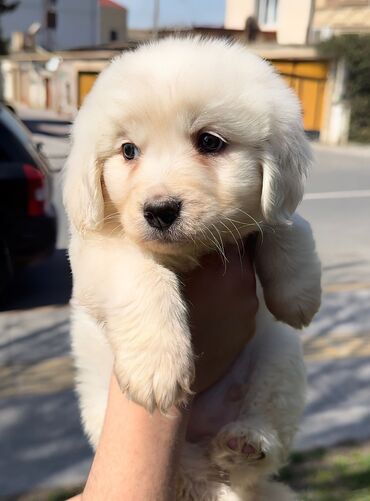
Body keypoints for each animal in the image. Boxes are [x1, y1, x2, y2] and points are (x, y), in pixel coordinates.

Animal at [63, 37, 320, 498]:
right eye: (128, 151)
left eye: (210, 142)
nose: (159, 211)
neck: (193, 252)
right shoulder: (98, 250)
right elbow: (140, 276)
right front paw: (157, 367)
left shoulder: (267, 215)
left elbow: (285, 224)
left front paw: (299, 295)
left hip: (280, 359)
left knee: (259, 448)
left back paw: (245, 443)